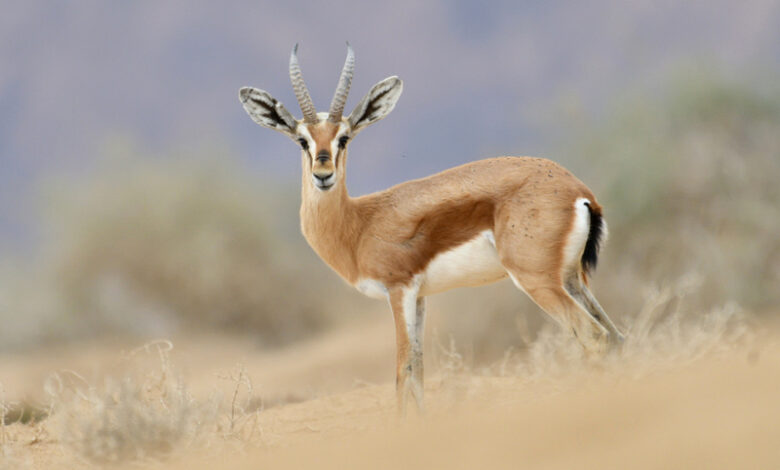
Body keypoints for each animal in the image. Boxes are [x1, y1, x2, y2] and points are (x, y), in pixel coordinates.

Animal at [238, 44, 624, 414]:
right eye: (302, 140)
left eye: (344, 138)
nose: (323, 175)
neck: (359, 224)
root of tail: (579, 192)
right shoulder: (421, 297)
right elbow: (419, 370)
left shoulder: (398, 290)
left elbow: (403, 370)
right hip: (572, 280)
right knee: (616, 336)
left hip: (537, 280)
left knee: (593, 336)